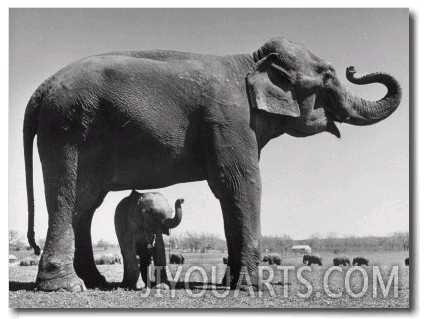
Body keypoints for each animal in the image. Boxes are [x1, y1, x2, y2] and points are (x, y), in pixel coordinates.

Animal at [24, 36, 402, 292]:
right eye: (327, 76)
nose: (353, 69)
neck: (251, 61)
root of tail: (41, 89)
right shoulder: (229, 119)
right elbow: (242, 183)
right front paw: (254, 289)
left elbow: (227, 190)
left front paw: (231, 283)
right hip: (67, 131)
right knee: (67, 198)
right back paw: (68, 287)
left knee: (86, 204)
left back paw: (95, 281)